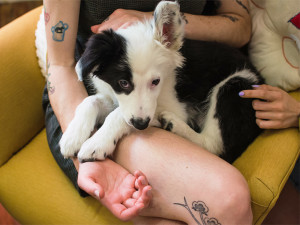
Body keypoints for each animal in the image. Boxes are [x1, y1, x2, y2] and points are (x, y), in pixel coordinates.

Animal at [56, 0, 262, 163]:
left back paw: (173, 125)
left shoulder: (174, 106)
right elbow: (91, 101)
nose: (141, 125)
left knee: (213, 145)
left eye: (156, 81)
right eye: (123, 83)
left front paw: (97, 143)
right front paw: (72, 136)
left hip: (236, 85)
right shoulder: (117, 97)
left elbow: (118, 115)